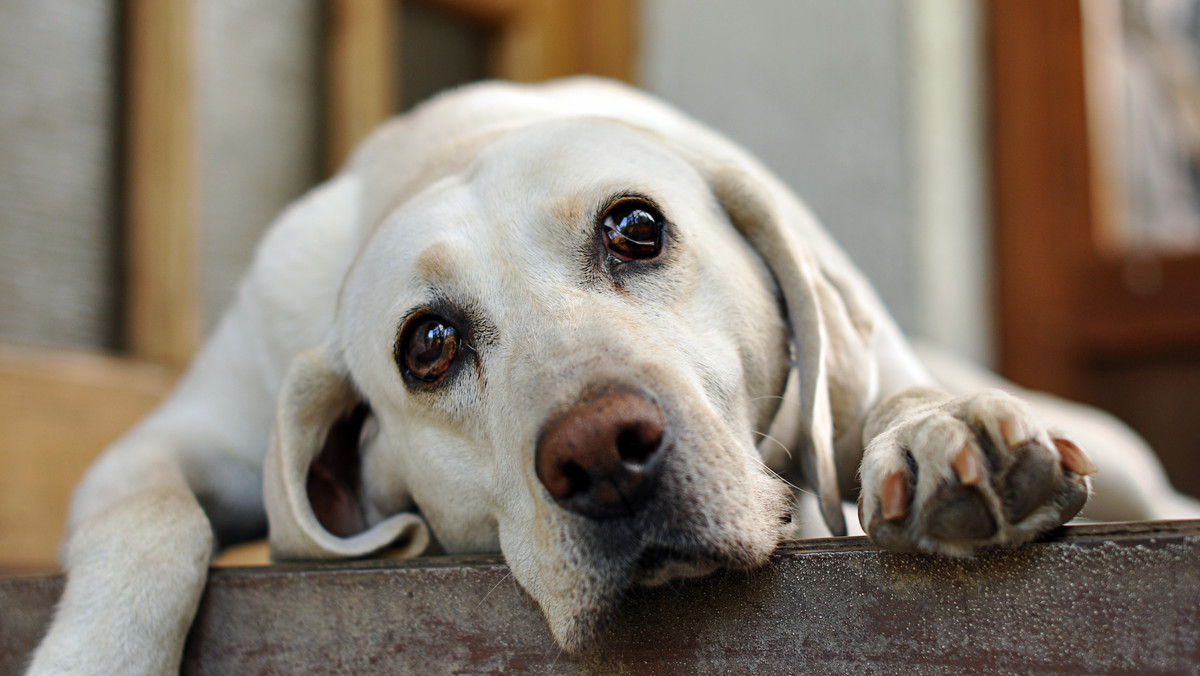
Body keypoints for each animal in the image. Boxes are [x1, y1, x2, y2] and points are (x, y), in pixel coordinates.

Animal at [28, 78, 1200, 672]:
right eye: (427, 344)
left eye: (636, 229)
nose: (600, 456)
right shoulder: (164, 440)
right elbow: (148, 526)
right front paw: (93, 657)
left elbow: (887, 400)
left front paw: (937, 429)